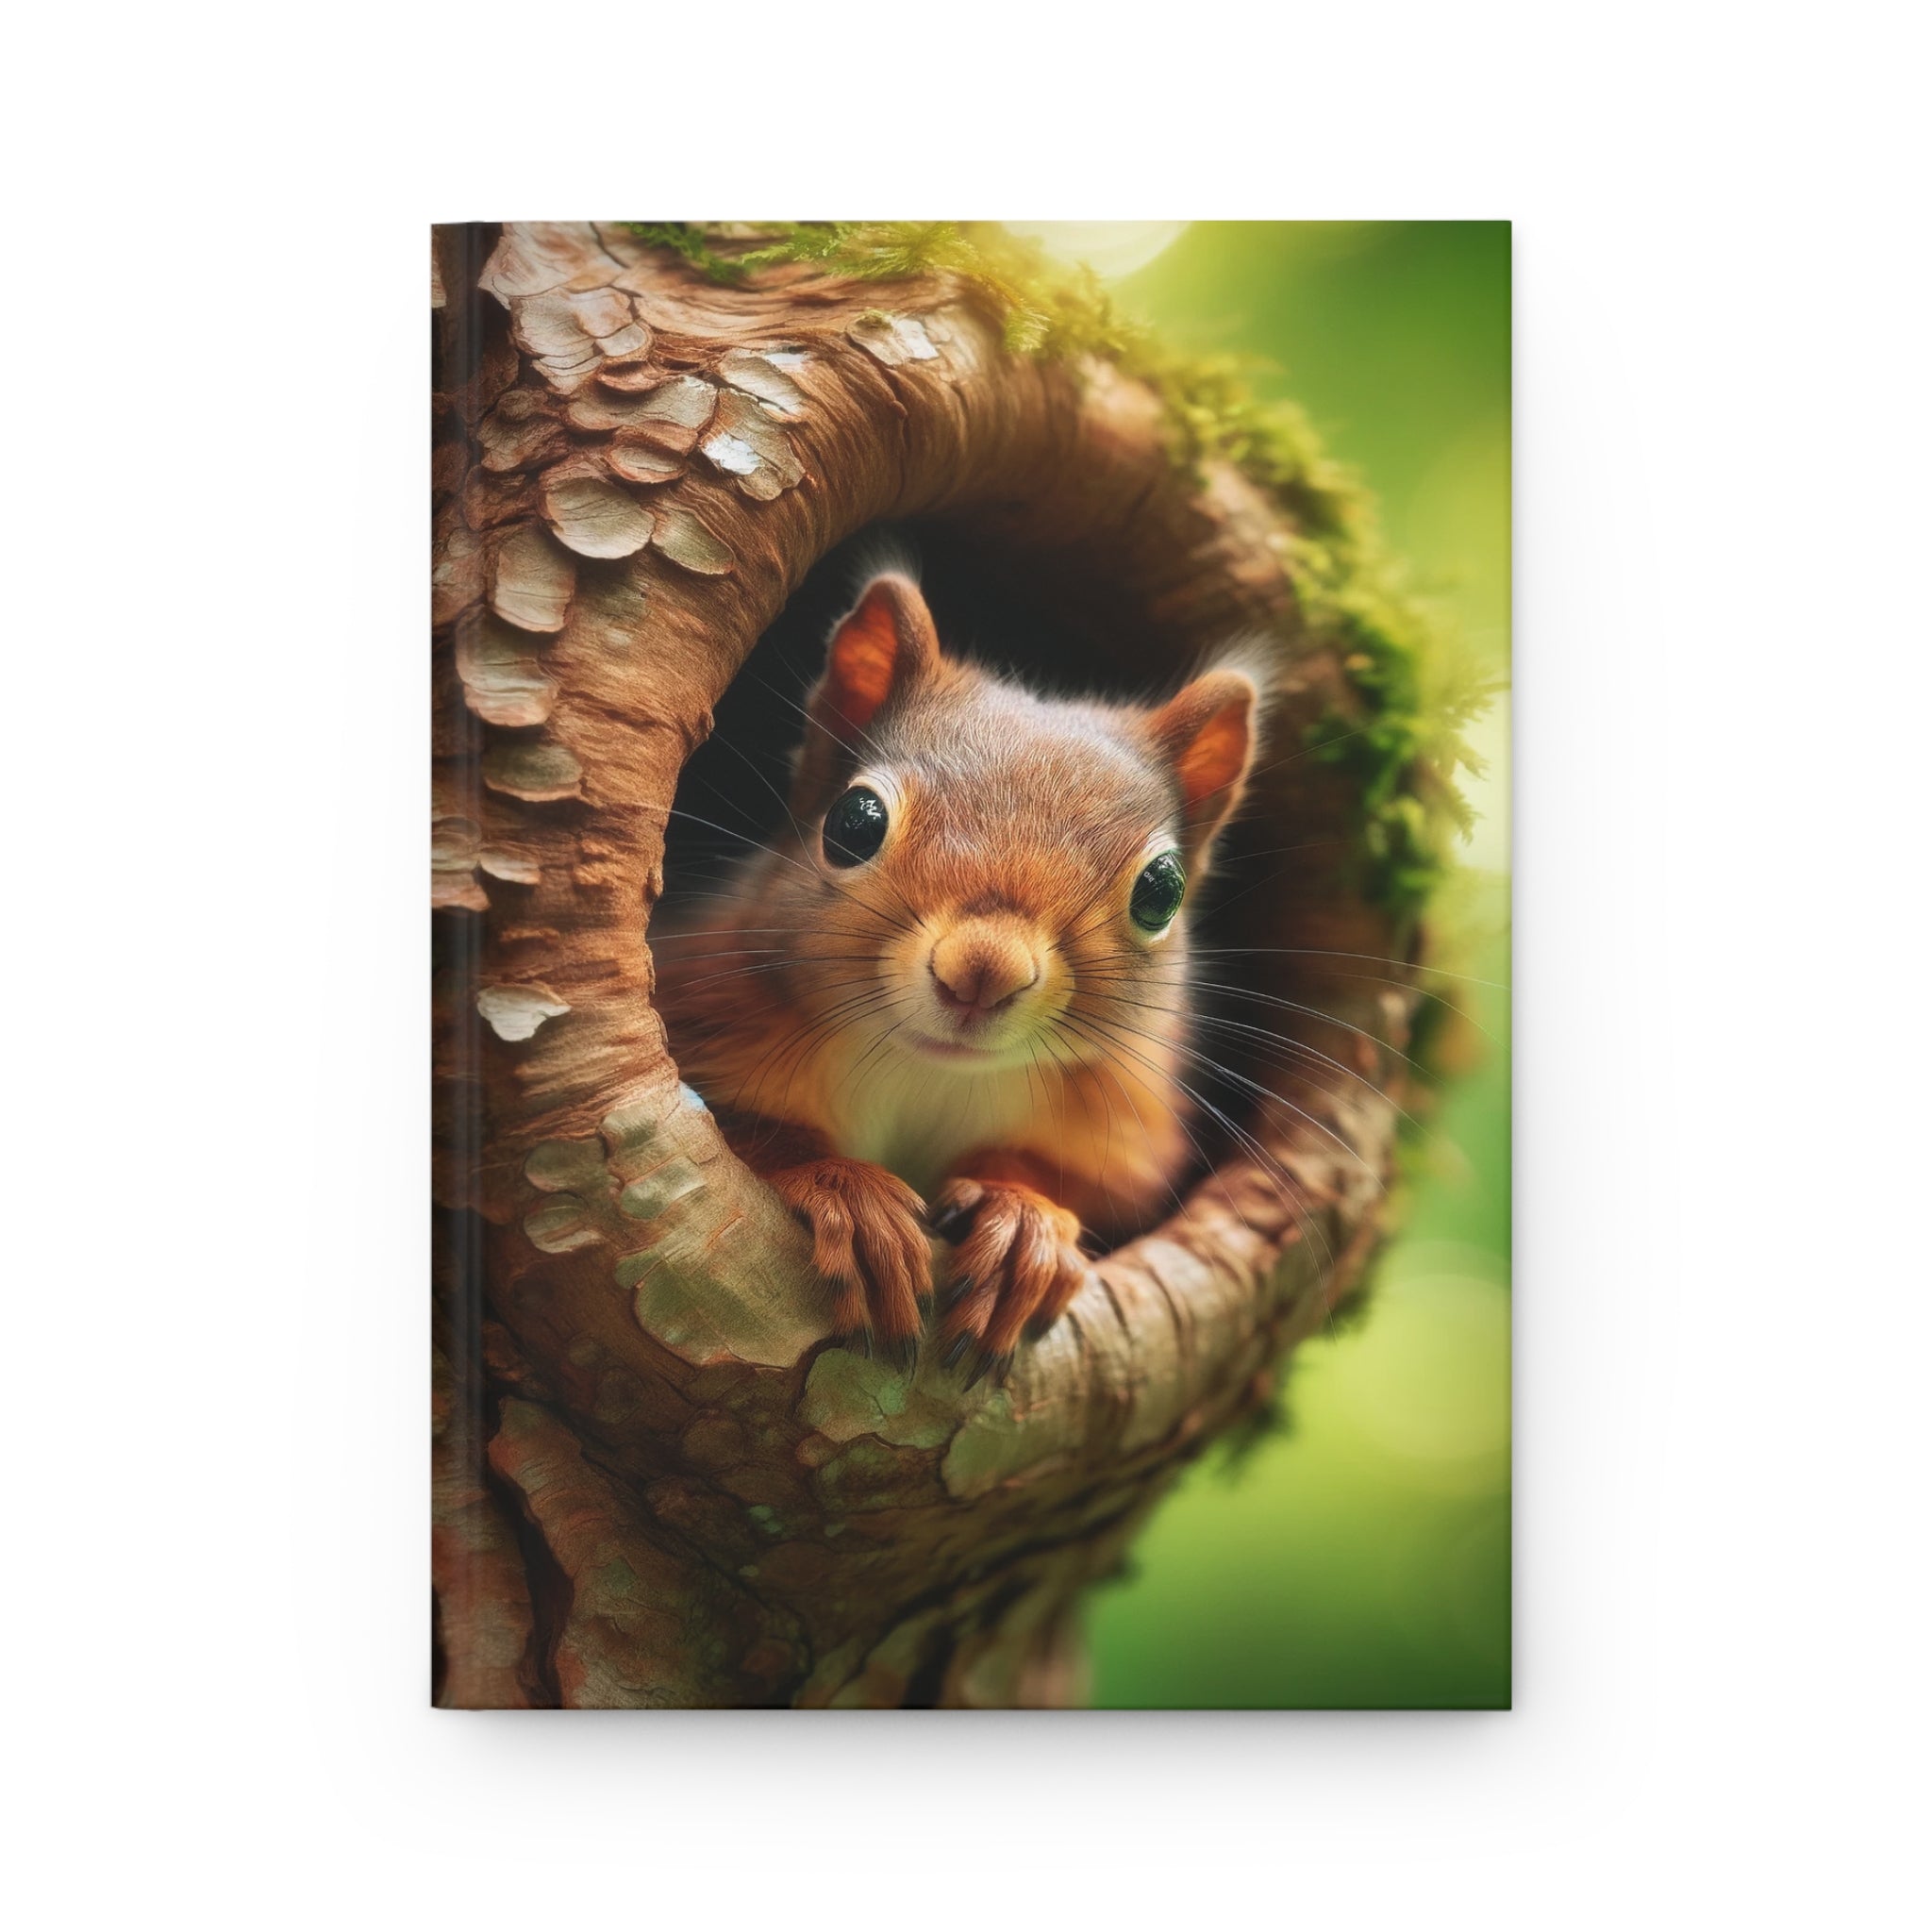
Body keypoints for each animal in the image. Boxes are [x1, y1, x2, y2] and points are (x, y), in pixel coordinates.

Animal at [653, 566, 1264, 1384]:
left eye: (1161, 890)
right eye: (853, 822)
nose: (984, 972)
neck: (931, 1074)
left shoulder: (1128, 1130)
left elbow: (1082, 1186)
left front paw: (1021, 1223)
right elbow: (748, 1130)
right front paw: (851, 1193)